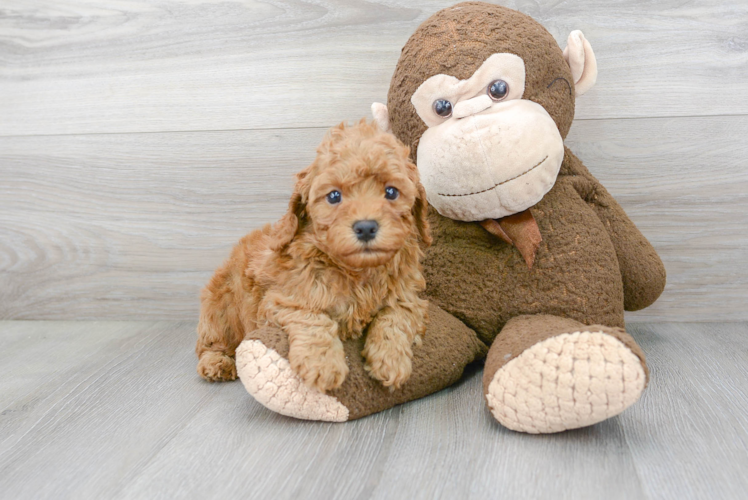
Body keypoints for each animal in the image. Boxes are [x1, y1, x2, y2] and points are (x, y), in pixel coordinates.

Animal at [197, 119, 432, 392]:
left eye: (391, 192)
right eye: (334, 196)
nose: (365, 227)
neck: (358, 271)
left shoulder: (409, 298)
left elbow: (395, 318)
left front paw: (391, 360)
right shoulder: (283, 299)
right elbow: (313, 319)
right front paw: (323, 365)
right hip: (221, 309)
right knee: (212, 342)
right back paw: (216, 362)